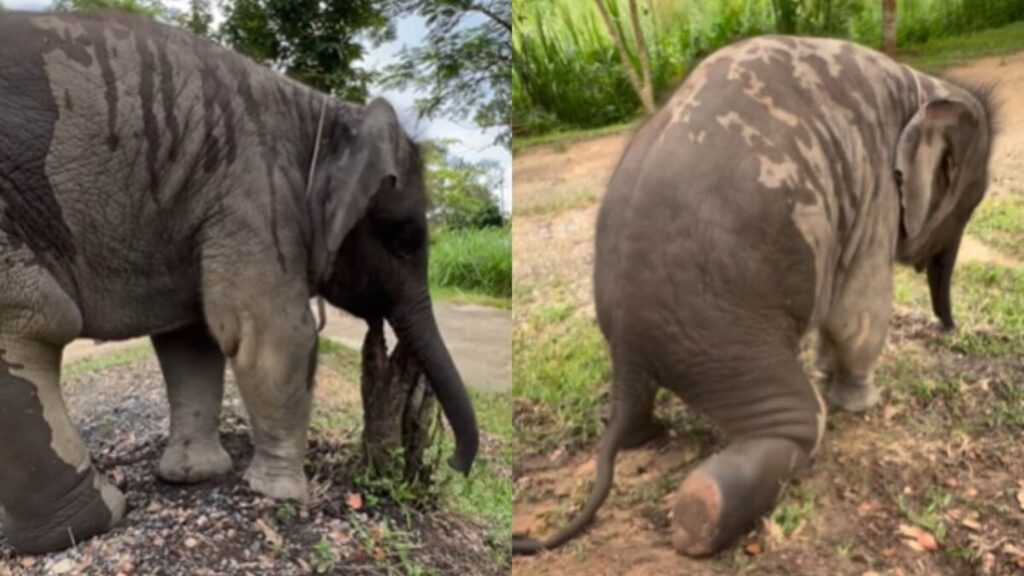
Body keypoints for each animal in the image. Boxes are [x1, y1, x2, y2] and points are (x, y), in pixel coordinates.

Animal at [0, 11, 478, 554]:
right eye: (405, 238)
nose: (455, 464)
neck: (320, 108)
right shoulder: (254, 193)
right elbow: (271, 335)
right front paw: (281, 494)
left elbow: (192, 339)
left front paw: (196, 476)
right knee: (31, 320)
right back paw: (95, 520)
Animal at [513, 35, 995, 557]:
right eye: (970, 203)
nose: (952, 328)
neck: (922, 84)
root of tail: (629, 344)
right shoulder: (877, 194)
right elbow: (858, 313)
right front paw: (862, 402)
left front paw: (830, 373)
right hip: (722, 343)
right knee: (803, 422)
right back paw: (701, 513)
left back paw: (650, 436)